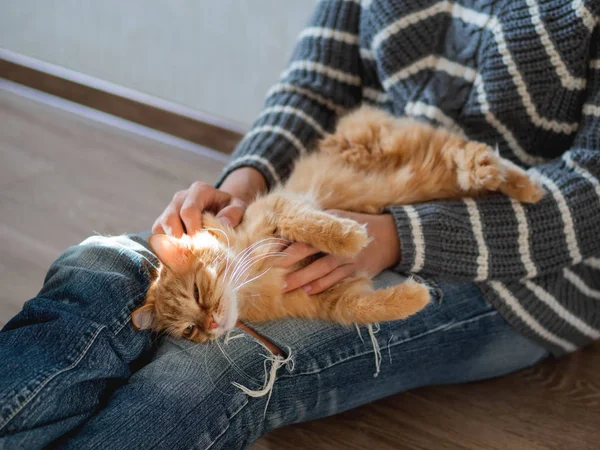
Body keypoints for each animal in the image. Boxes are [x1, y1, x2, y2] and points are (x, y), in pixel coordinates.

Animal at [131, 107, 544, 342]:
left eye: (198, 293)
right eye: (190, 330)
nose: (211, 326)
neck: (255, 284)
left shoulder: (281, 207)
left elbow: (309, 224)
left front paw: (350, 237)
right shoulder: (334, 299)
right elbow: (369, 309)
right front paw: (417, 295)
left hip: (391, 145)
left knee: (471, 152)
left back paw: (529, 187)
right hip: (431, 172)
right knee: (465, 158)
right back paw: (522, 185)